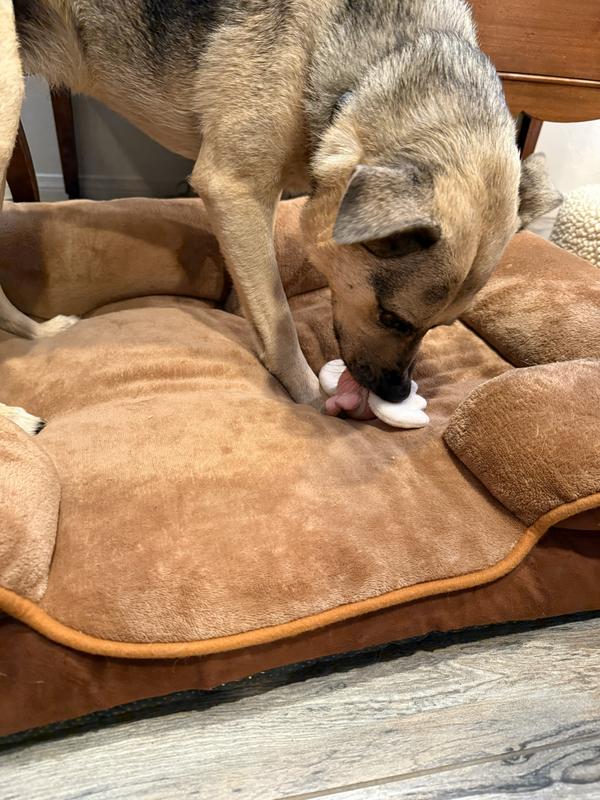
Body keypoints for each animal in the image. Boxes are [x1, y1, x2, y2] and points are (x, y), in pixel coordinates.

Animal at [1, 0, 561, 432]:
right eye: (391, 318)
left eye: (440, 327)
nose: (398, 393)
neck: (379, 65)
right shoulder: (234, 187)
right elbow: (278, 316)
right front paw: (309, 396)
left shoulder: (253, 202)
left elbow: (252, 287)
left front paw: (234, 307)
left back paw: (42, 332)